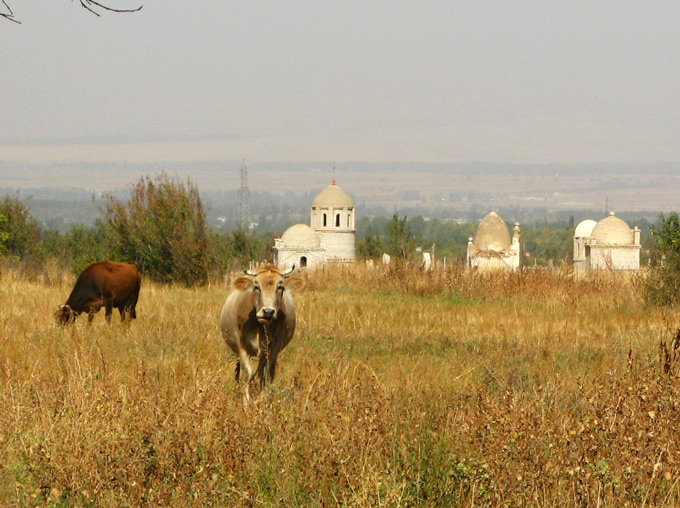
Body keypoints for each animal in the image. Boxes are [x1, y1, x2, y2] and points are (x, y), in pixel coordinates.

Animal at [219, 266, 304, 396]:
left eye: (280, 287)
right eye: (256, 286)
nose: (268, 311)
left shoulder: (275, 345)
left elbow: (266, 374)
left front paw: (263, 397)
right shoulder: (241, 344)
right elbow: (247, 374)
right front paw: (246, 400)